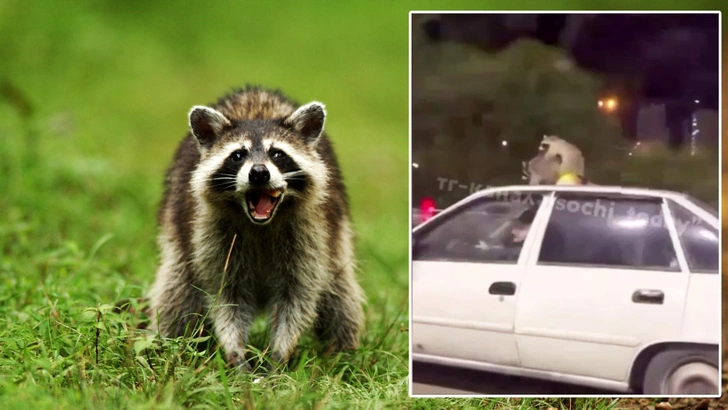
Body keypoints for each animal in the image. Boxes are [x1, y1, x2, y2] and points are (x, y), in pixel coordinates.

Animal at [146, 85, 366, 370]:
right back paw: (168, 345)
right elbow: (226, 295)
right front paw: (235, 350)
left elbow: (298, 296)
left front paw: (281, 352)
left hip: (335, 241)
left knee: (341, 297)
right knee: (176, 294)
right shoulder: (209, 234)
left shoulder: (312, 231)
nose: (259, 173)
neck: (261, 224)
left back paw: (342, 352)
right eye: (238, 155)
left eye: (277, 154)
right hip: (180, 238)